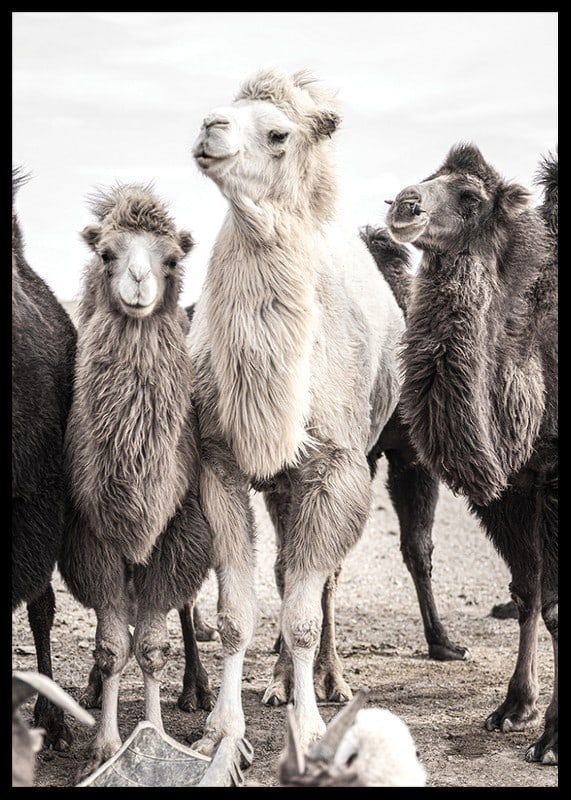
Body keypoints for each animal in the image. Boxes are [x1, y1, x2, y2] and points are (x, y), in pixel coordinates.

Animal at [58, 182, 214, 780]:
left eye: (171, 259)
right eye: (107, 253)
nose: (140, 280)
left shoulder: (177, 532)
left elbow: (150, 647)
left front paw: (154, 736)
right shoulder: (91, 535)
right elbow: (111, 647)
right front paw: (103, 747)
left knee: (186, 611)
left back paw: (198, 690)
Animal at [187, 67, 405, 755]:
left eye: (278, 133)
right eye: (229, 109)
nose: (210, 126)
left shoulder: (335, 468)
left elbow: (308, 612)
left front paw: (308, 731)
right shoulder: (220, 462)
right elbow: (235, 612)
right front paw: (222, 730)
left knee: (323, 580)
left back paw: (327, 682)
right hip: (283, 482)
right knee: (285, 570)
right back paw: (280, 682)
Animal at [385, 142, 558, 765]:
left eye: (469, 196)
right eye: (429, 176)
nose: (405, 202)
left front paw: (552, 738)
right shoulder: (511, 487)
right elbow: (530, 595)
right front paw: (515, 707)